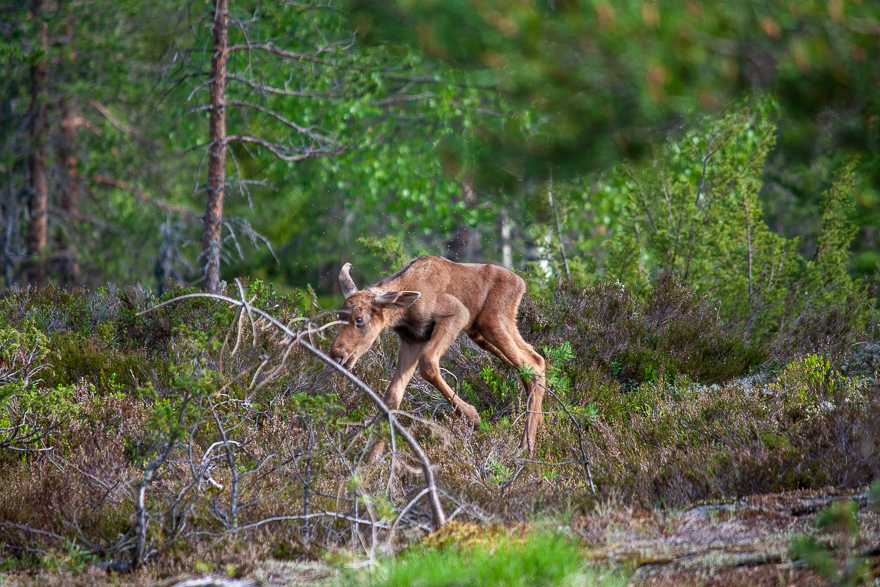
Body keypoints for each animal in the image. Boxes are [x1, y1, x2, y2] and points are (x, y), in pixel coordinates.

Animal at [330, 255, 548, 462]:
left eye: (359, 320)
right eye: (339, 315)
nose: (336, 355)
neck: (402, 313)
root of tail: (521, 283)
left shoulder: (456, 314)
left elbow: (428, 364)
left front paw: (472, 417)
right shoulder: (412, 340)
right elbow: (392, 396)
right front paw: (372, 460)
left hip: (492, 321)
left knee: (533, 365)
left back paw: (527, 448)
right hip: (480, 333)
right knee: (535, 361)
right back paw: (541, 430)